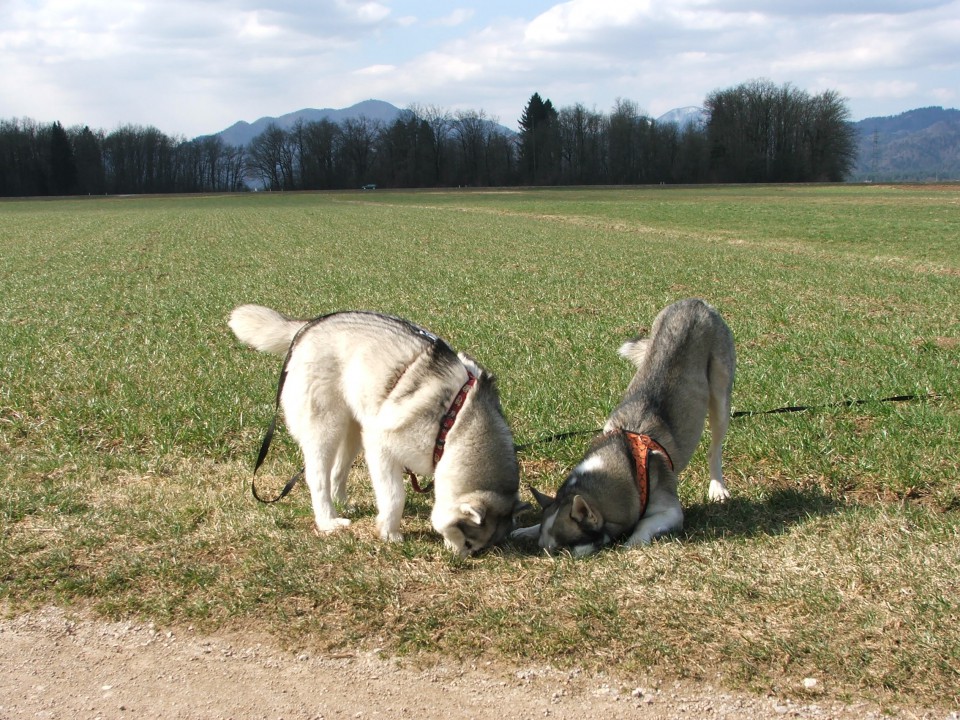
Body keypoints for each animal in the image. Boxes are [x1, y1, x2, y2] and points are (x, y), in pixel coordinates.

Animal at [229, 304, 528, 556]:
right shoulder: (381, 446)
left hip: (354, 428)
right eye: (467, 542)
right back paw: (328, 520)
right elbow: (395, 496)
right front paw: (389, 532)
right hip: (326, 427)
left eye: (477, 547)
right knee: (317, 475)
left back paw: (343, 502)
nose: (461, 560)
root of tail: (310, 325)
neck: (457, 423)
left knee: (338, 470)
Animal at [516, 298, 736, 556]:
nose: (544, 556)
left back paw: (717, 488)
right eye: (542, 545)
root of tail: (694, 302)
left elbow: (643, 524)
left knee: (715, 448)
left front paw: (632, 543)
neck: (625, 459)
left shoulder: (671, 512)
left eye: (561, 551)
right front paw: (525, 529)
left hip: (720, 397)